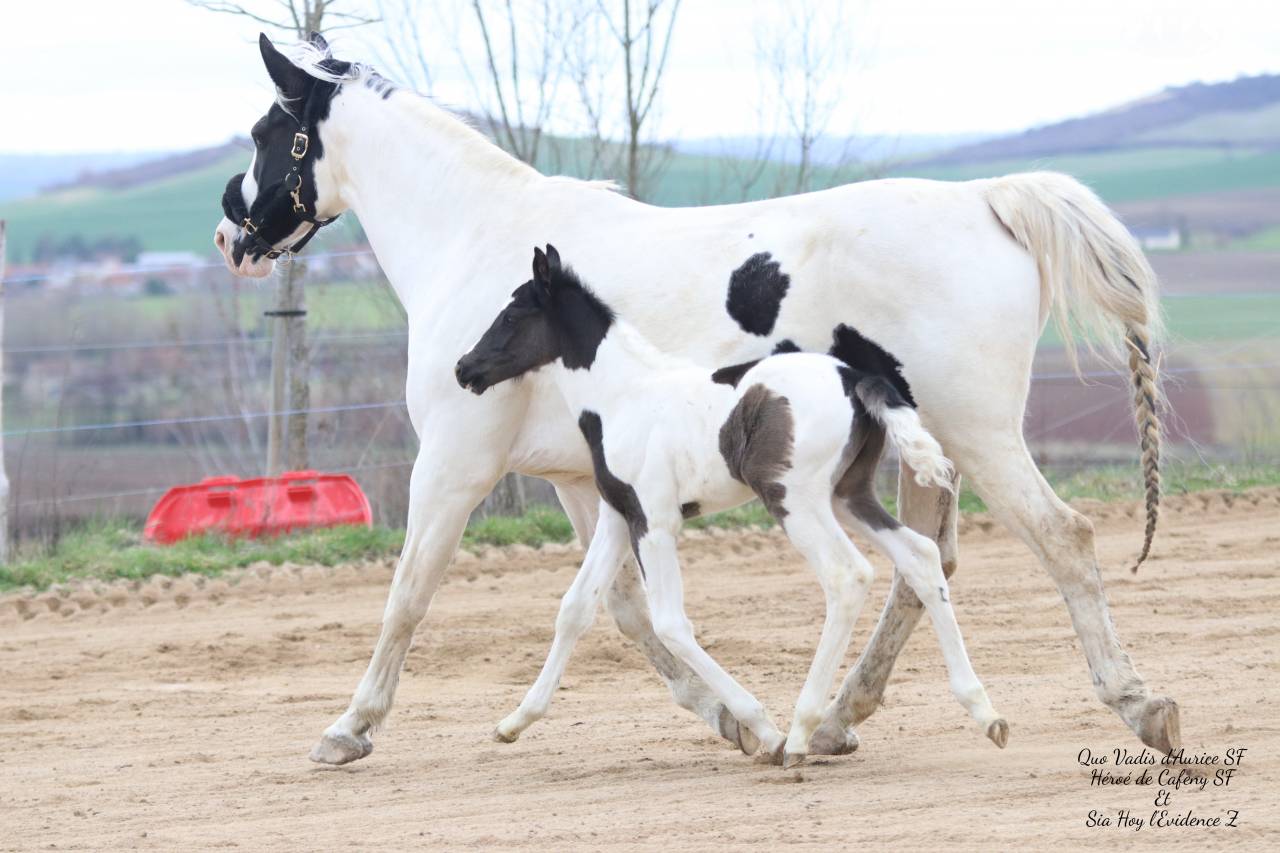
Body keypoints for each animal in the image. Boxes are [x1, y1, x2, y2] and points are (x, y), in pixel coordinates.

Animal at [212, 33, 1175, 766]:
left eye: (268, 130)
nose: (229, 235)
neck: (478, 238)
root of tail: (987, 200)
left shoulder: (456, 463)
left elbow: (409, 594)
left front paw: (349, 728)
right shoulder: (583, 479)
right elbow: (619, 607)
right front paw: (736, 720)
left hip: (977, 434)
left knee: (1060, 539)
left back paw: (1138, 703)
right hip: (917, 451)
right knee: (924, 566)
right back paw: (838, 719)